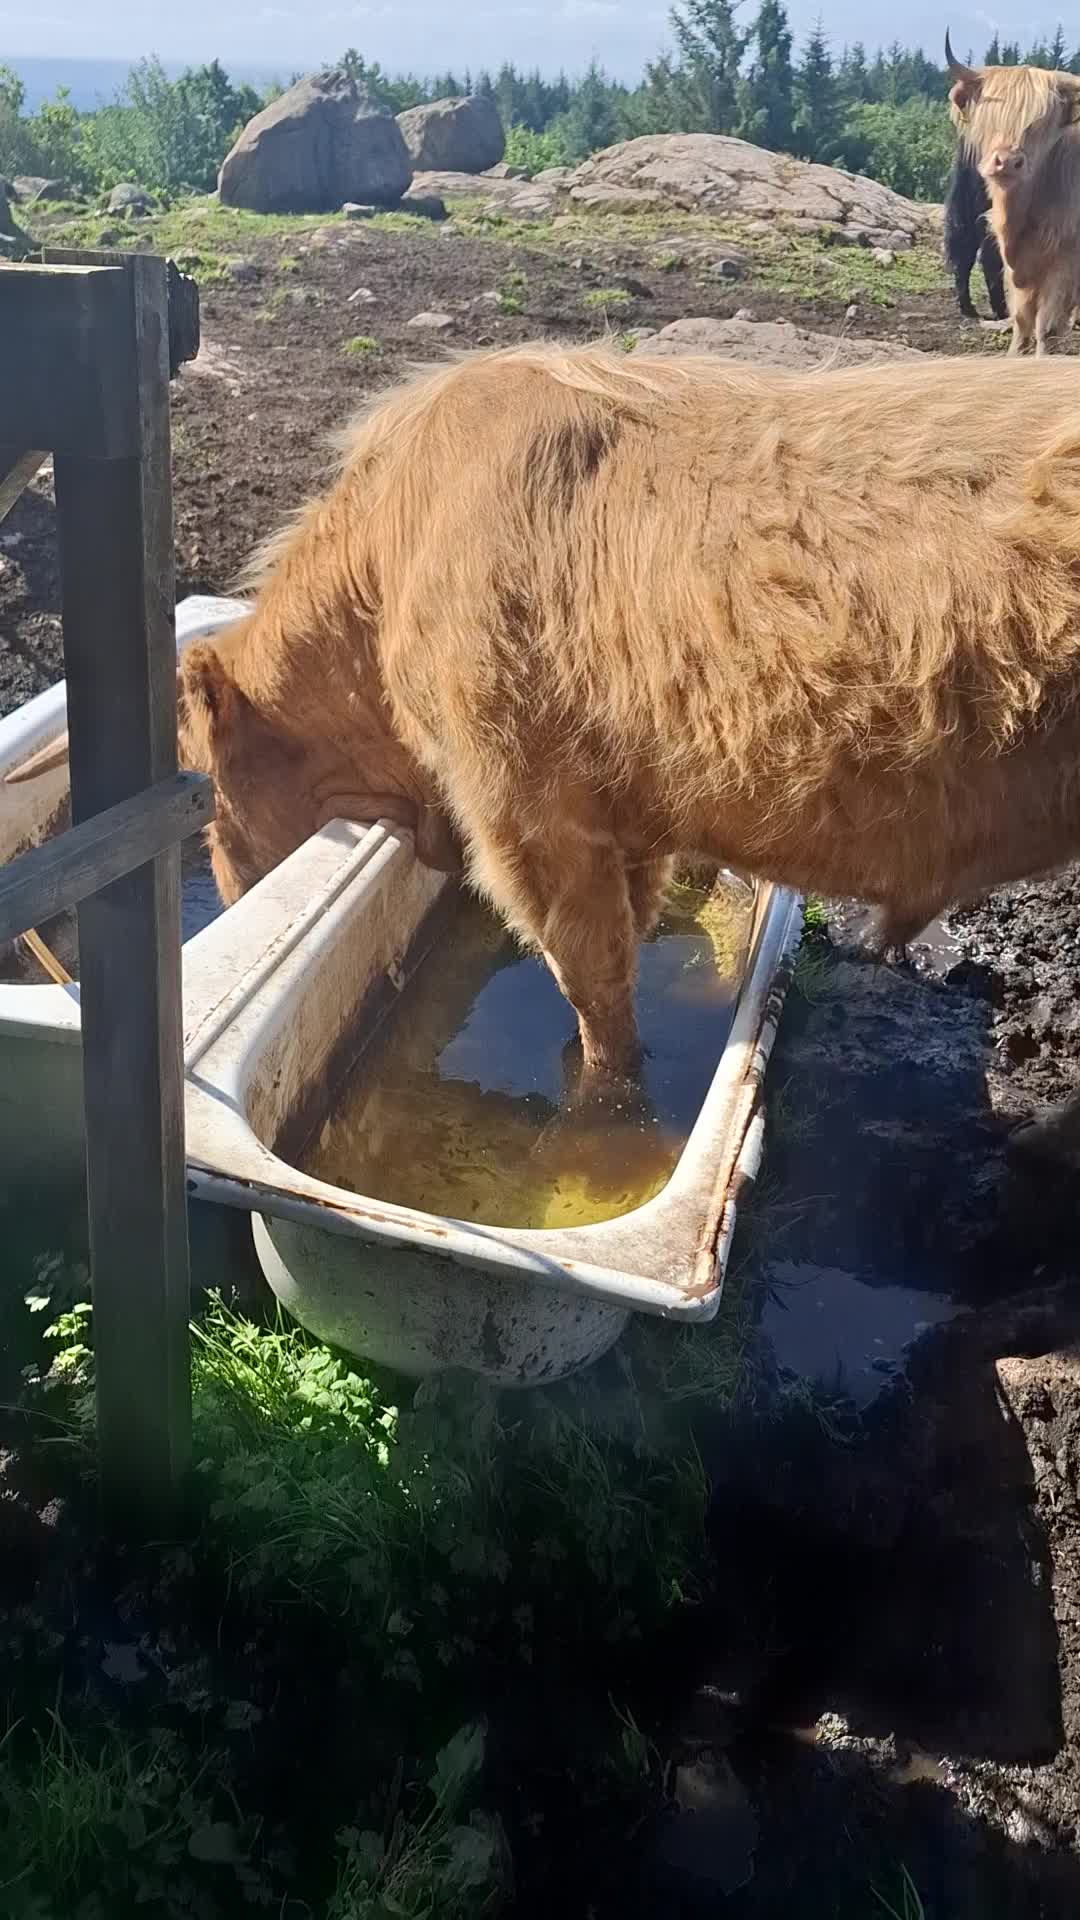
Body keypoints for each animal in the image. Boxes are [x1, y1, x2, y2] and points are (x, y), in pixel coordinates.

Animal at [14, 343, 1080, 1163]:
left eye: (204, 801)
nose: (226, 897)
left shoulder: (526, 807)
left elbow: (594, 988)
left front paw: (604, 1127)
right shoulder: (628, 818)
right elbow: (629, 948)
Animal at [946, 36, 1080, 353]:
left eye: (1041, 121)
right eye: (990, 114)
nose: (1006, 161)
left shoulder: (1065, 260)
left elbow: (1046, 326)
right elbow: (1021, 319)